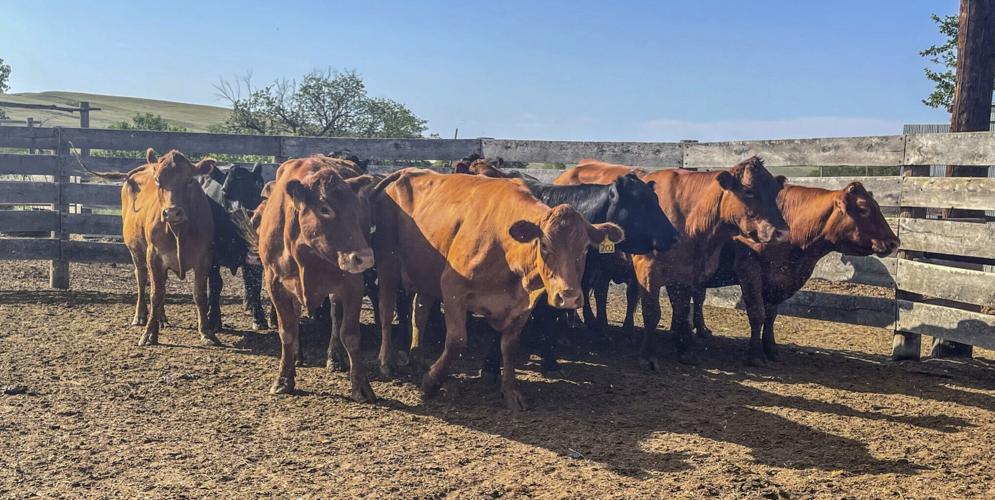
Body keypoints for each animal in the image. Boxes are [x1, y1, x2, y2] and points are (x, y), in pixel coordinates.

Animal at [119, 149, 218, 347]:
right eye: (158, 180)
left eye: (189, 180)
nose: (172, 212)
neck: (178, 231)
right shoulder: (154, 256)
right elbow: (155, 295)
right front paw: (149, 333)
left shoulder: (204, 258)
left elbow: (199, 294)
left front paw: (206, 332)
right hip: (135, 250)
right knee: (141, 278)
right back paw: (140, 316)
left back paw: (162, 318)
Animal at [200, 163, 268, 332]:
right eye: (224, 190)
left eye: (254, 188)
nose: (241, 213)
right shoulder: (213, 257)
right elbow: (216, 284)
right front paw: (214, 318)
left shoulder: (254, 257)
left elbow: (255, 285)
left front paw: (259, 317)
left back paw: (249, 306)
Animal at [255, 156, 377, 400]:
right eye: (324, 209)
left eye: (356, 208)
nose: (365, 258)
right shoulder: (274, 283)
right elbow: (287, 331)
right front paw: (284, 379)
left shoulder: (352, 284)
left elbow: (350, 334)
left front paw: (361, 385)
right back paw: (297, 355)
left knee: (335, 317)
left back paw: (335, 357)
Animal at [371, 169, 624, 410]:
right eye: (544, 245)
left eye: (585, 248)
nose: (569, 297)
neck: (505, 249)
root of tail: (405, 172)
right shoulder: (453, 288)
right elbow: (457, 340)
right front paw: (431, 382)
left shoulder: (523, 305)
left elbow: (509, 347)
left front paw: (510, 392)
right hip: (387, 263)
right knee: (386, 309)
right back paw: (386, 361)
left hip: (424, 274)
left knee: (420, 313)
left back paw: (418, 358)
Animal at [689, 182, 900, 365]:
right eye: (863, 208)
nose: (894, 242)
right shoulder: (749, 270)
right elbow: (757, 314)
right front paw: (756, 356)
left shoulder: (777, 280)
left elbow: (771, 316)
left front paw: (772, 350)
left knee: (698, 297)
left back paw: (702, 330)